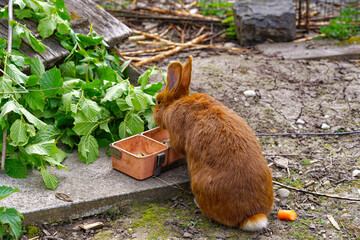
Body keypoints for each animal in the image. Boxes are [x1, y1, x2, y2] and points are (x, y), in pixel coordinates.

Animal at [153, 55, 274, 231]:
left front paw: (166, 142)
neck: (177, 102)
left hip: (200, 184)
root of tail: (251, 215)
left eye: (158, 102)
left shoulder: (177, 135)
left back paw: (197, 203)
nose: (154, 115)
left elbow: (175, 145)